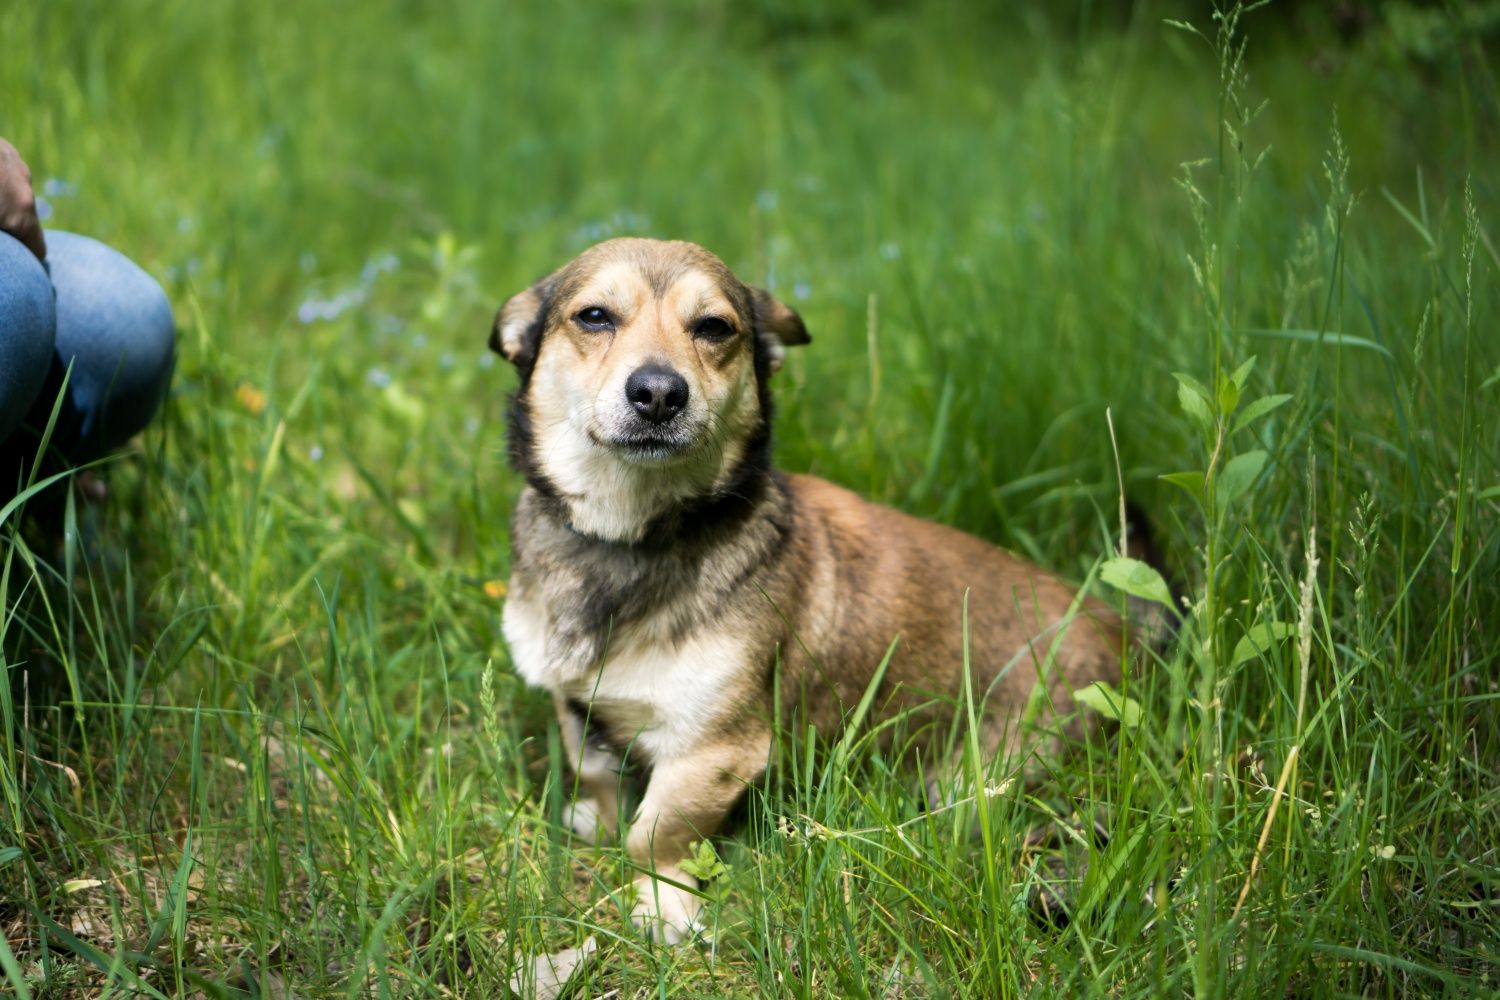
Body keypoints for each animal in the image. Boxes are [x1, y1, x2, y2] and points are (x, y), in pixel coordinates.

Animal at [489, 238, 1128, 941]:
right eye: (595, 316)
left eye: (714, 328)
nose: (658, 392)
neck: (627, 537)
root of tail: (1121, 628)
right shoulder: (575, 706)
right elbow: (597, 775)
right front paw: (595, 822)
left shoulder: (713, 750)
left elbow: (657, 835)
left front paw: (663, 907)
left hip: (986, 770)